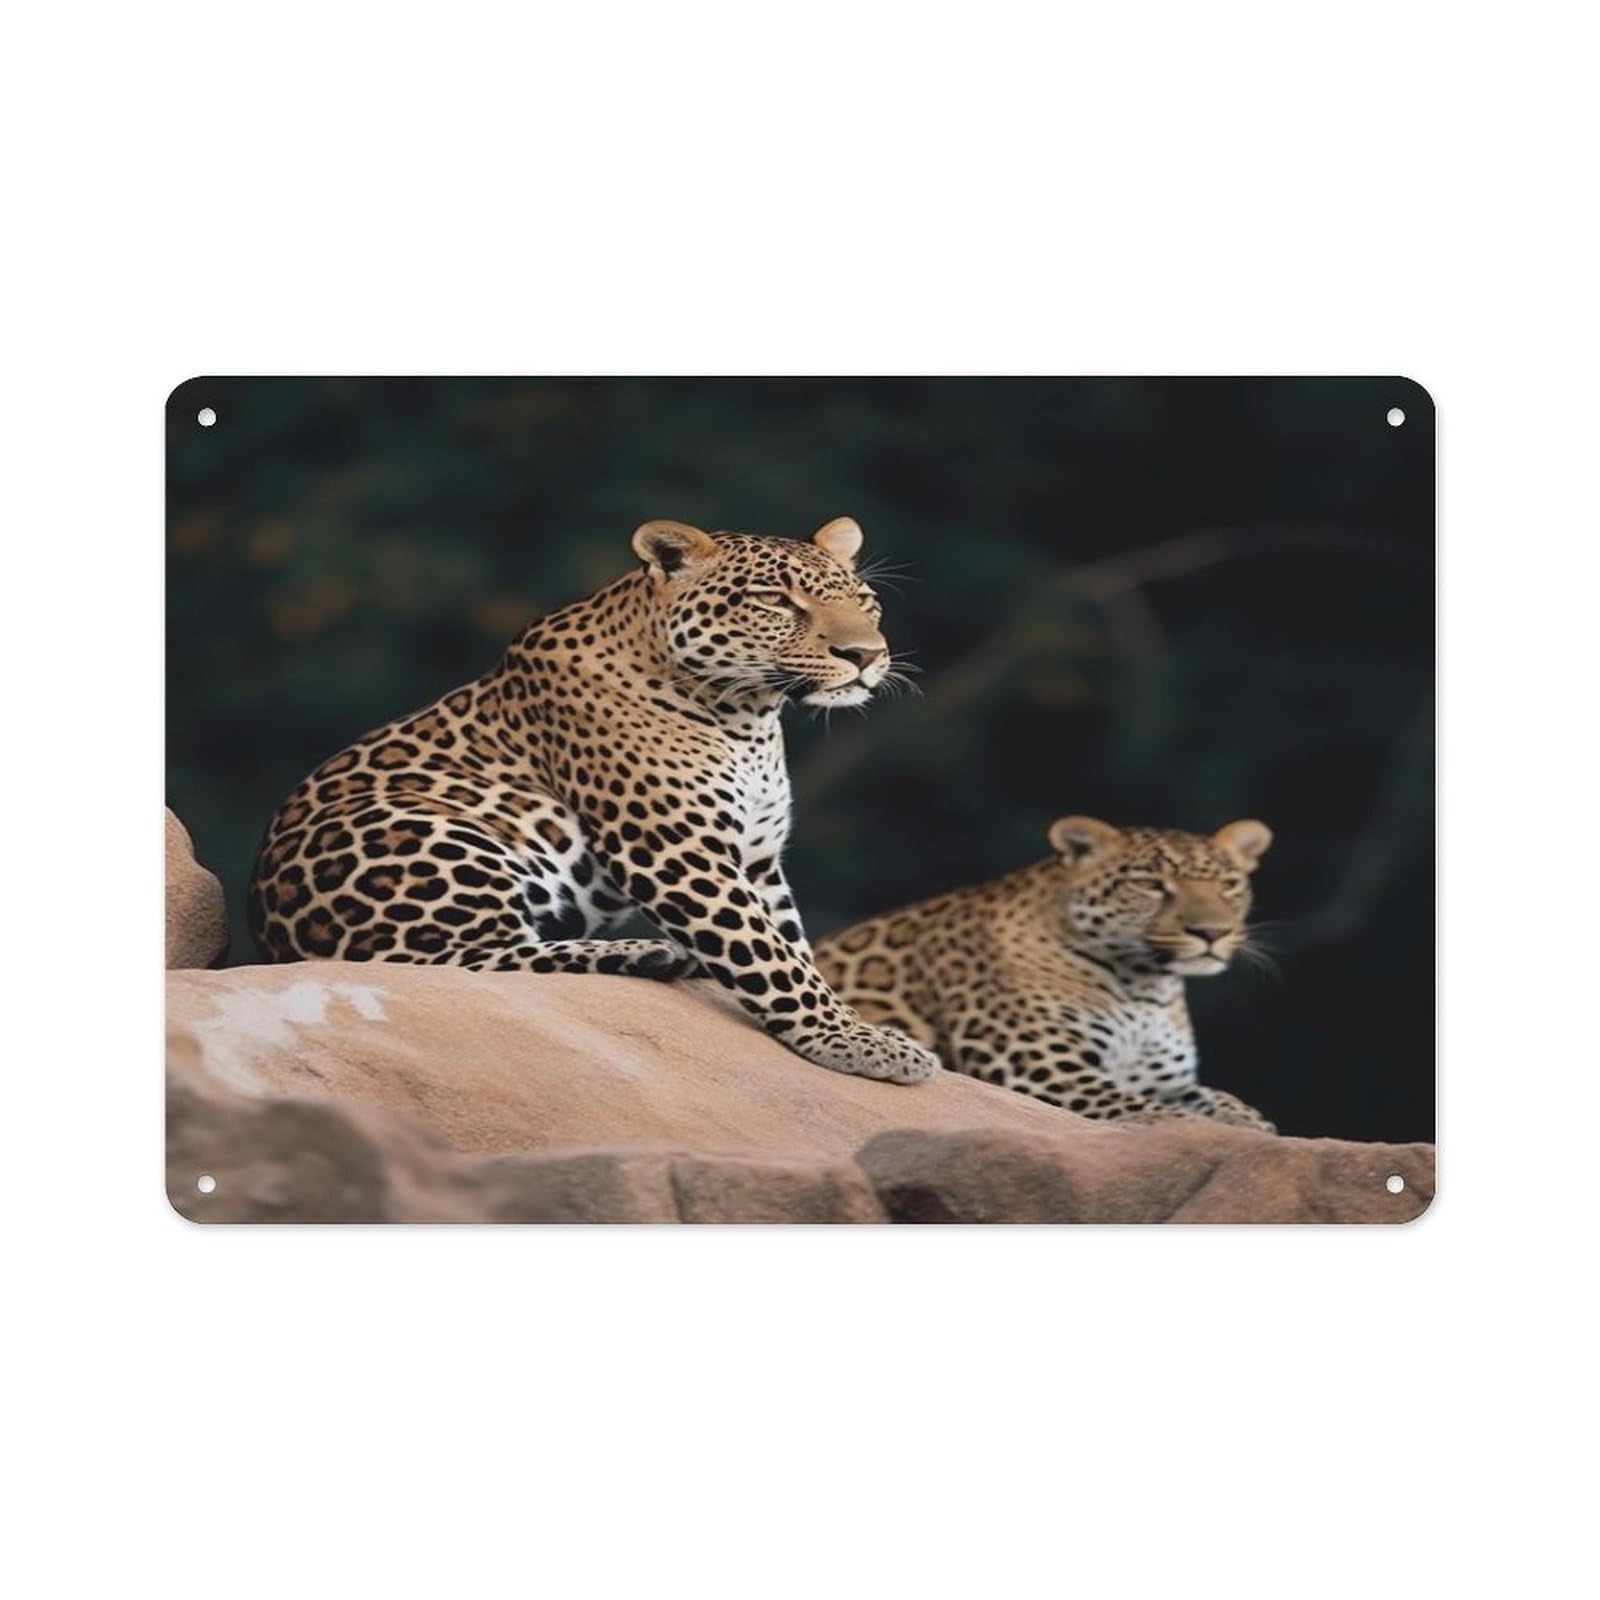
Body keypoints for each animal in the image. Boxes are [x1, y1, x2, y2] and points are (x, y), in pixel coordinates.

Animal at [247, 516, 942, 1085]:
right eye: (775, 600)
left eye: (864, 601)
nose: (866, 655)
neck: (749, 716)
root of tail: (269, 939)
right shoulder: (674, 851)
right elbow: (768, 956)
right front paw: (856, 1042)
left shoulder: (757, 859)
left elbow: (788, 946)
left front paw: (845, 1026)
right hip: (441, 833)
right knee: (445, 965)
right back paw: (640, 952)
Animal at [814, 814, 1277, 1128]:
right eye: (1149, 884)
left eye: (1229, 885)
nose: (1212, 932)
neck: (1146, 986)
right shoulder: (1043, 1071)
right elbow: (1152, 1112)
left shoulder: (1162, 1081)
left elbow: (1213, 1099)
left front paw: (1249, 1121)